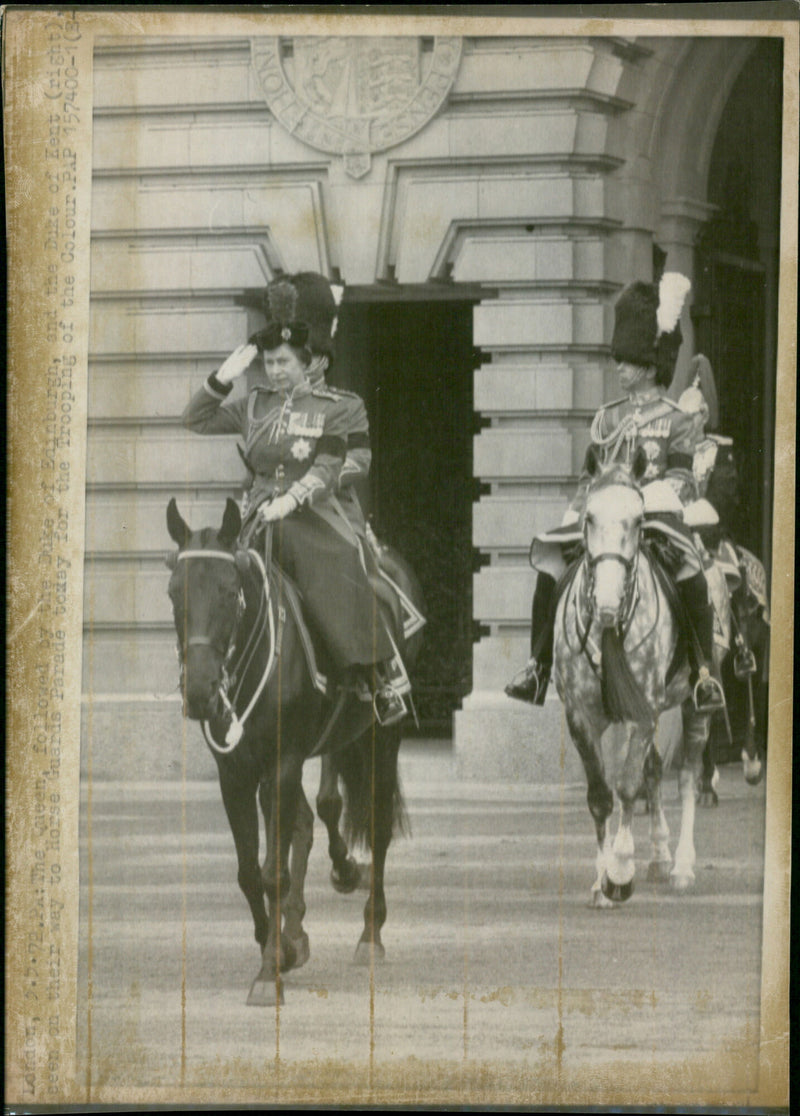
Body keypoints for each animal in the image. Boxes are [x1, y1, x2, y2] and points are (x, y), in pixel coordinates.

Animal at [165, 497, 421, 1004]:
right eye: (172, 591)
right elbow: (250, 871)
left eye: (229, 591)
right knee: (313, 814)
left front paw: (269, 971)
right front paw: (279, 947)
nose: (200, 693)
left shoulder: (281, 763)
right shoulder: (236, 773)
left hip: (382, 738)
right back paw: (306, 921)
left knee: (376, 826)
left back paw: (370, 933)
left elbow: (273, 873)